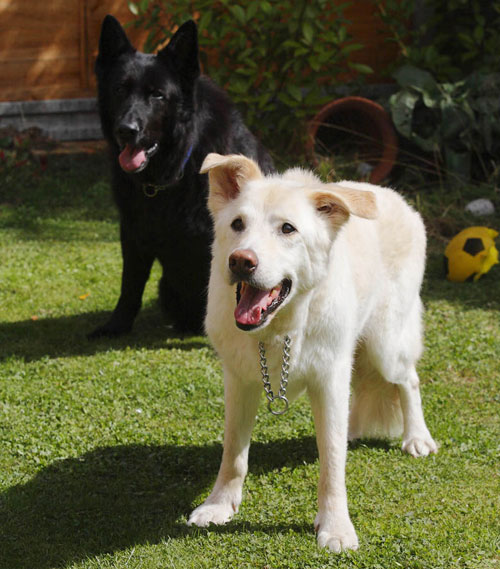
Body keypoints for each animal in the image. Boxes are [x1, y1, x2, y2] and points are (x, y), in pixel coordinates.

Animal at [91, 16, 274, 338]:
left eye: (157, 95)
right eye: (119, 89)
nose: (126, 130)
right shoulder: (132, 232)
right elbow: (130, 286)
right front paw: (116, 325)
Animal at [188, 154, 438, 552]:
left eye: (287, 229)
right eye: (237, 224)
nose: (241, 261)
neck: (281, 329)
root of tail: (396, 197)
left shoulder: (329, 379)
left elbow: (332, 465)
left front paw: (335, 527)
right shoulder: (239, 382)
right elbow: (233, 453)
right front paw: (219, 506)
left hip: (386, 345)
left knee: (408, 380)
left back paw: (417, 437)